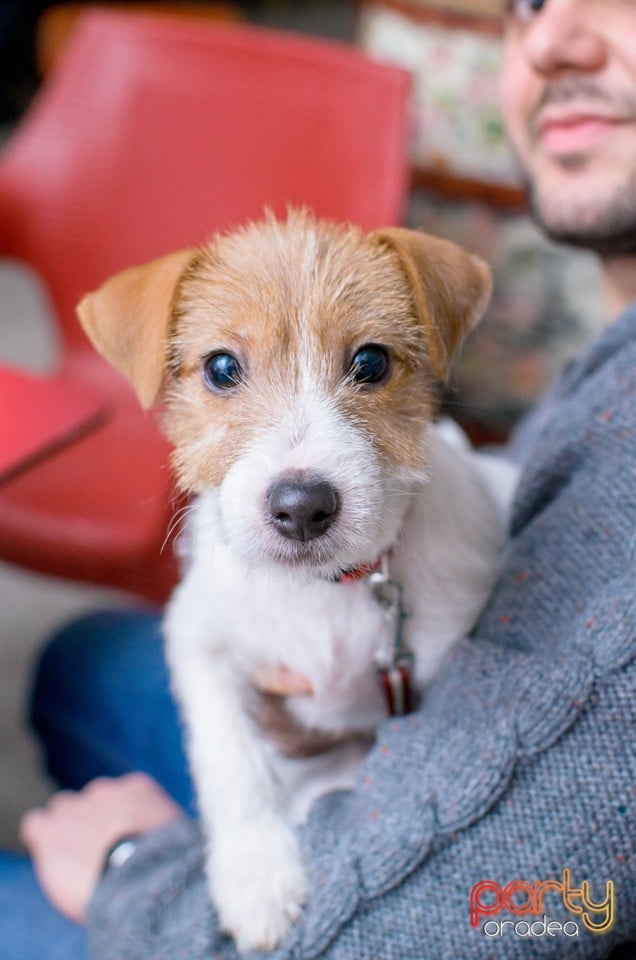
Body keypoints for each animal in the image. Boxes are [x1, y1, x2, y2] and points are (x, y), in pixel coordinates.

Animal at [77, 212, 516, 952]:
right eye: (222, 368)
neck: (322, 591)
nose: (302, 505)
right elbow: (231, 762)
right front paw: (257, 879)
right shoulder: (198, 642)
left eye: (370, 362)